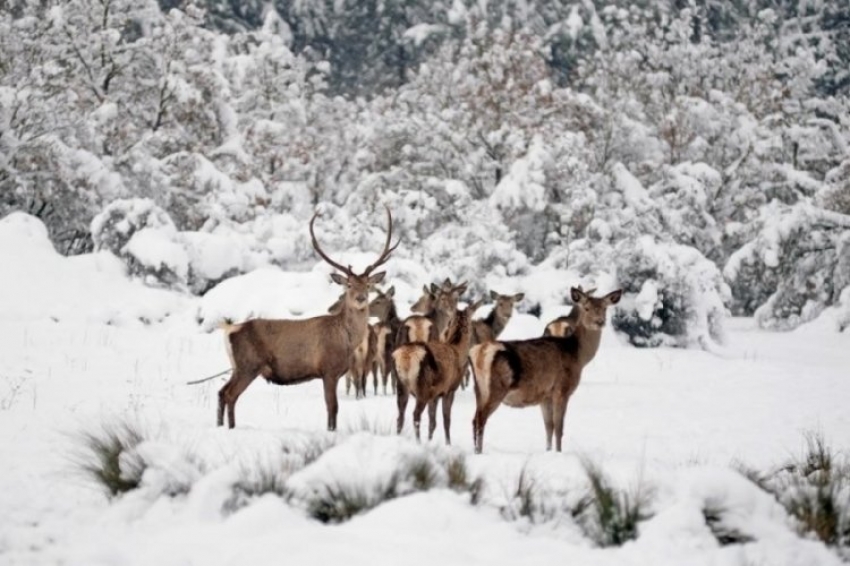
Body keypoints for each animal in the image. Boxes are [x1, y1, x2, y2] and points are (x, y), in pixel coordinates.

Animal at [215, 209, 394, 430]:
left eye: (368, 285)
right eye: (349, 285)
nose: (361, 298)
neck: (346, 340)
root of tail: (229, 330)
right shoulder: (328, 369)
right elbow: (332, 407)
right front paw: (331, 430)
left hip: (237, 366)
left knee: (222, 392)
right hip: (248, 365)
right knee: (230, 394)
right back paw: (230, 427)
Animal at [390, 300, 480, 446]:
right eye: (472, 324)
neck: (457, 350)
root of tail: (406, 356)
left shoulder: (435, 394)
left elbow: (433, 422)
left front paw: (430, 440)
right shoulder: (449, 389)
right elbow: (446, 420)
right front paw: (448, 443)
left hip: (402, 384)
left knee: (400, 416)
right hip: (423, 387)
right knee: (415, 415)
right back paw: (418, 442)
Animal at [468, 286, 620, 454]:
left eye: (604, 308)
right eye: (586, 308)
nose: (600, 322)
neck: (578, 355)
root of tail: (480, 353)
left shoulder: (545, 395)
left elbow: (549, 426)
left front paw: (548, 451)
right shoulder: (562, 389)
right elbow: (559, 427)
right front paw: (559, 452)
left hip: (479, 389)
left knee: (474, 419)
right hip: (496, 388)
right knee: (481, 419)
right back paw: (479, 452)